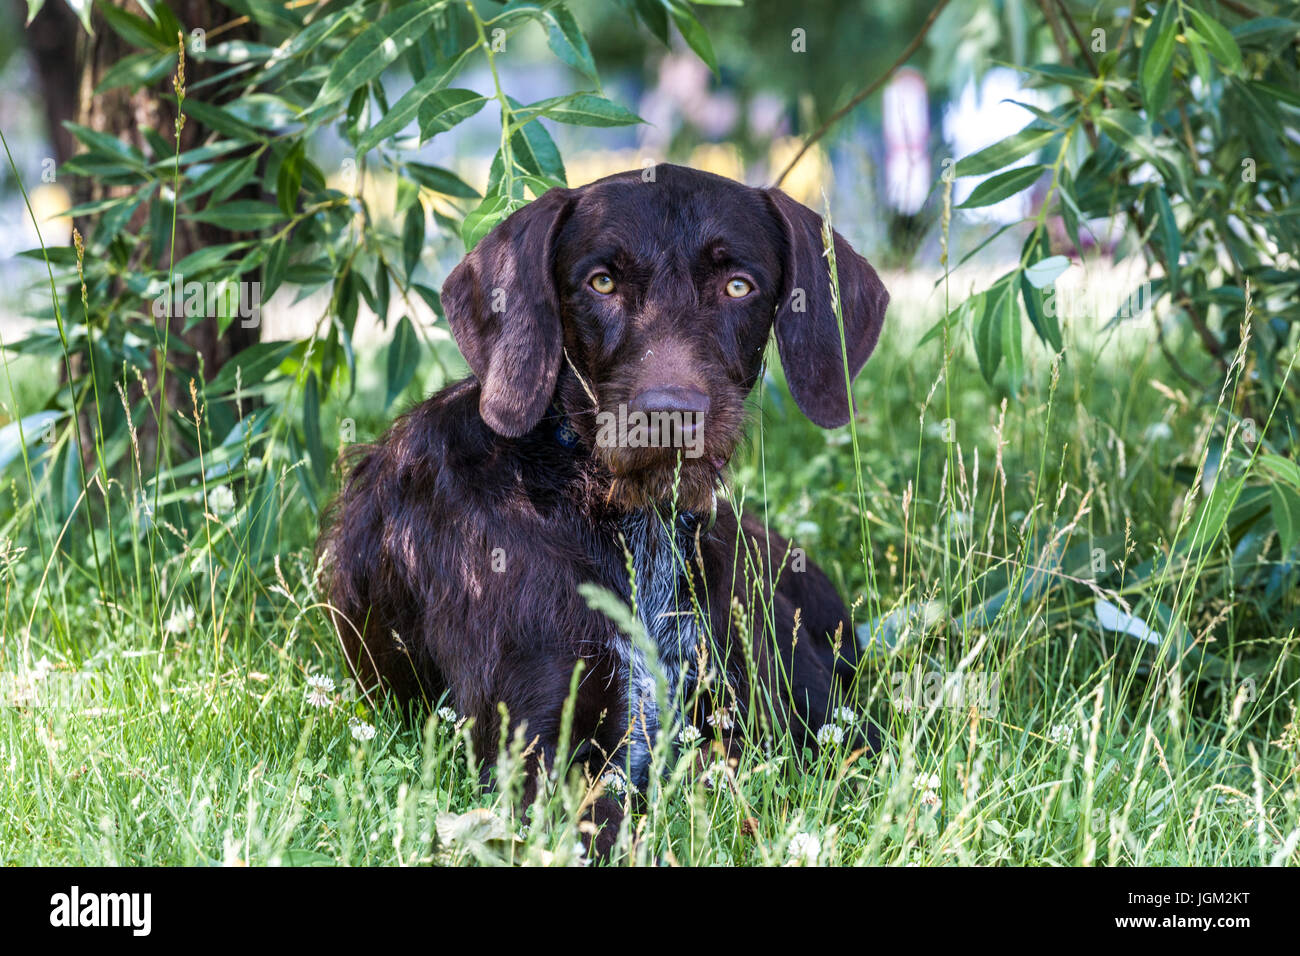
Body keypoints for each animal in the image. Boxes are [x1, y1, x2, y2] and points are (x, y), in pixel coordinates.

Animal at [319, 164, 889, 853]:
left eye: (738, 285)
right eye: (602, 282)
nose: (670, 415)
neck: (619, 518)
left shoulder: (811, 721)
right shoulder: (537, 753)